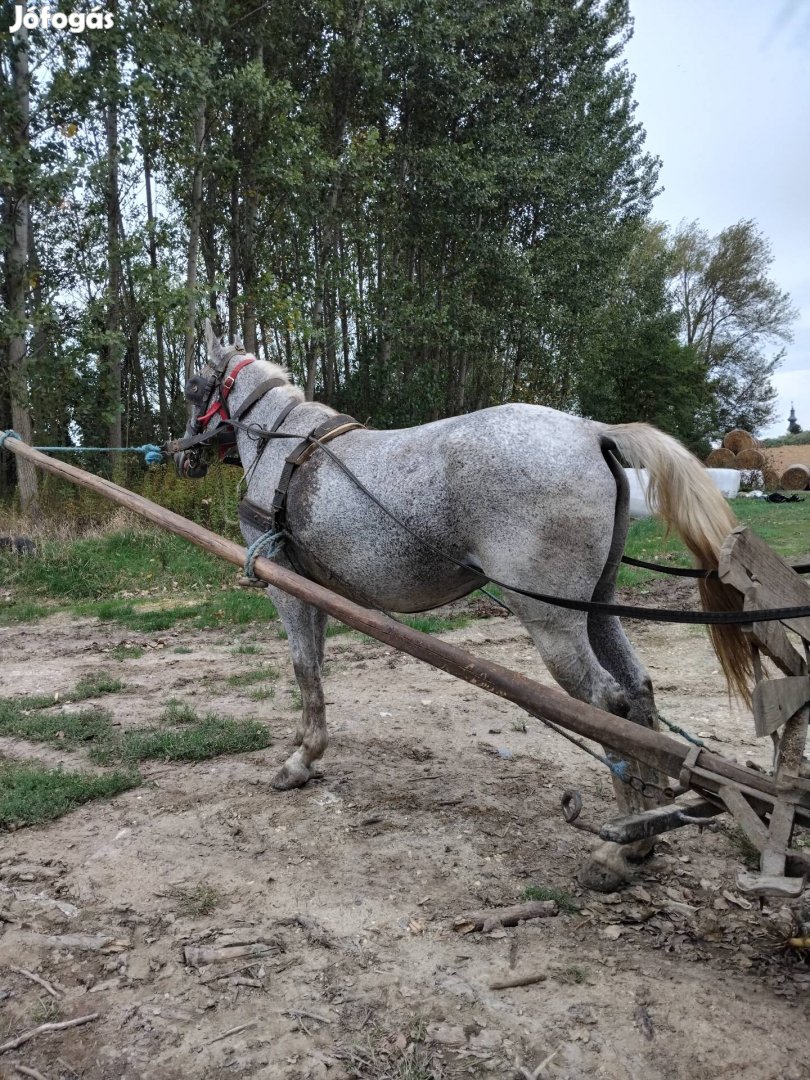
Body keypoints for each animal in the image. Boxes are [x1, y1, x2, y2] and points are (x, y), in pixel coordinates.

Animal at [174, 321, 751, 894]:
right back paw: (647, 827)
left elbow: (303, 668)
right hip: (596, 604)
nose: (182, 456)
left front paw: (300, 762)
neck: (283, 444)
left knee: (609, 706)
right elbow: (314, 666)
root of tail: (593, 432)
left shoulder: (283, 581)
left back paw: (616, 850)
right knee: (637, 691)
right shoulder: (312, 585)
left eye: (193, 388)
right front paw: (305, 744)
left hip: (552, 620)